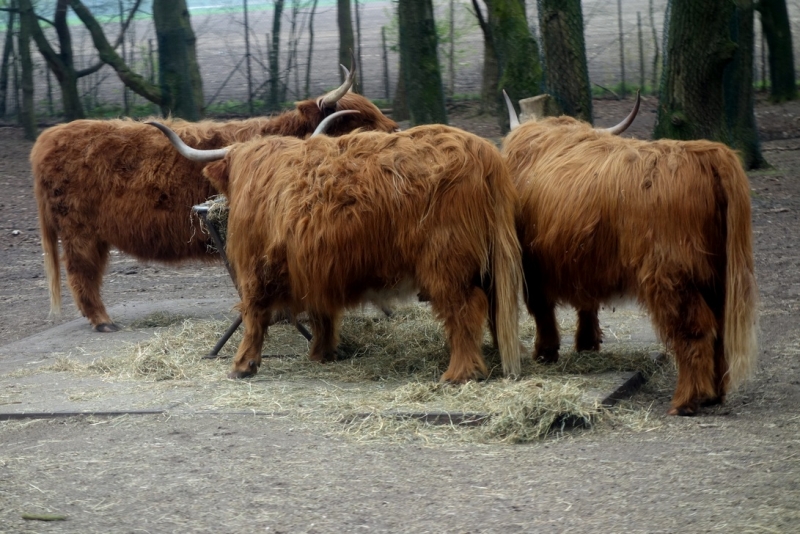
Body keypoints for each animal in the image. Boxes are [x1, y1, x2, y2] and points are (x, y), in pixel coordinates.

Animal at [32, 60, 398, 332]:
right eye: (358, 118)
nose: (395, 130)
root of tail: (49, 136)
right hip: (79, 231)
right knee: (81, 272)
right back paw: (103, 321)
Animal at [504, 93, 760, 418]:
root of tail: (705, 154)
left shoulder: (531, 266)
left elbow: (542, 309)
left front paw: (545, 352)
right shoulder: (585, 258)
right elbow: (586, 303)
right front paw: (587, 344)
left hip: (671, 276)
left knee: (694, 329)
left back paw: (686, 401)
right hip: (718, 274)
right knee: (719, 329)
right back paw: (715, 394)